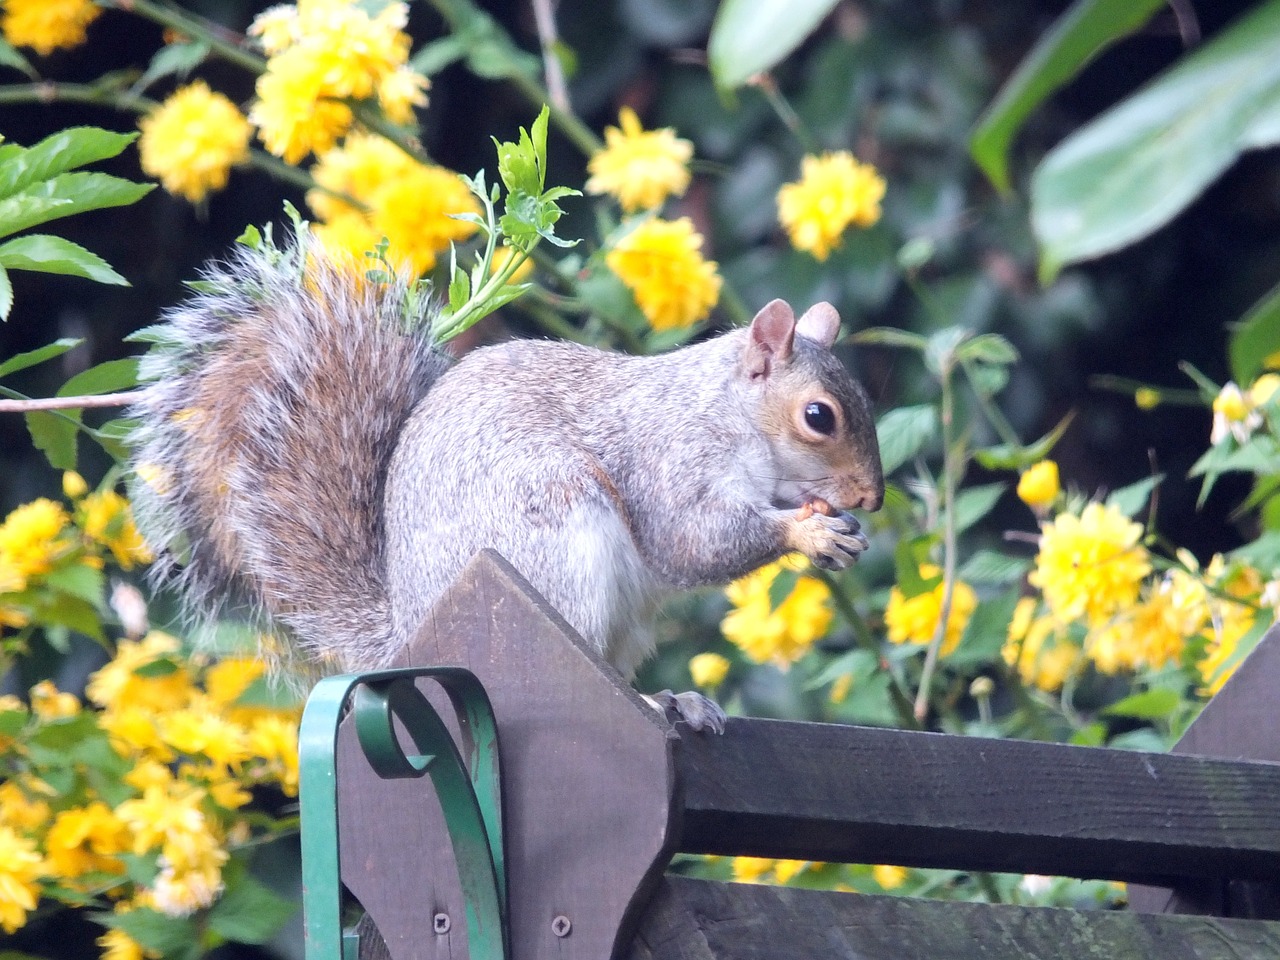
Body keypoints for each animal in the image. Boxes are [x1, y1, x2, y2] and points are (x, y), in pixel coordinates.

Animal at [124, 229, 885, 732]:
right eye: (819, 416)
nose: (871, 497)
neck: (727, 415)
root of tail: (410, 628)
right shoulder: (668, 461)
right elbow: (693, 542)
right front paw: (809, 534)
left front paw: (839, 528)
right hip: (552, 548)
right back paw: (647, 703)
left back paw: (671, 701)